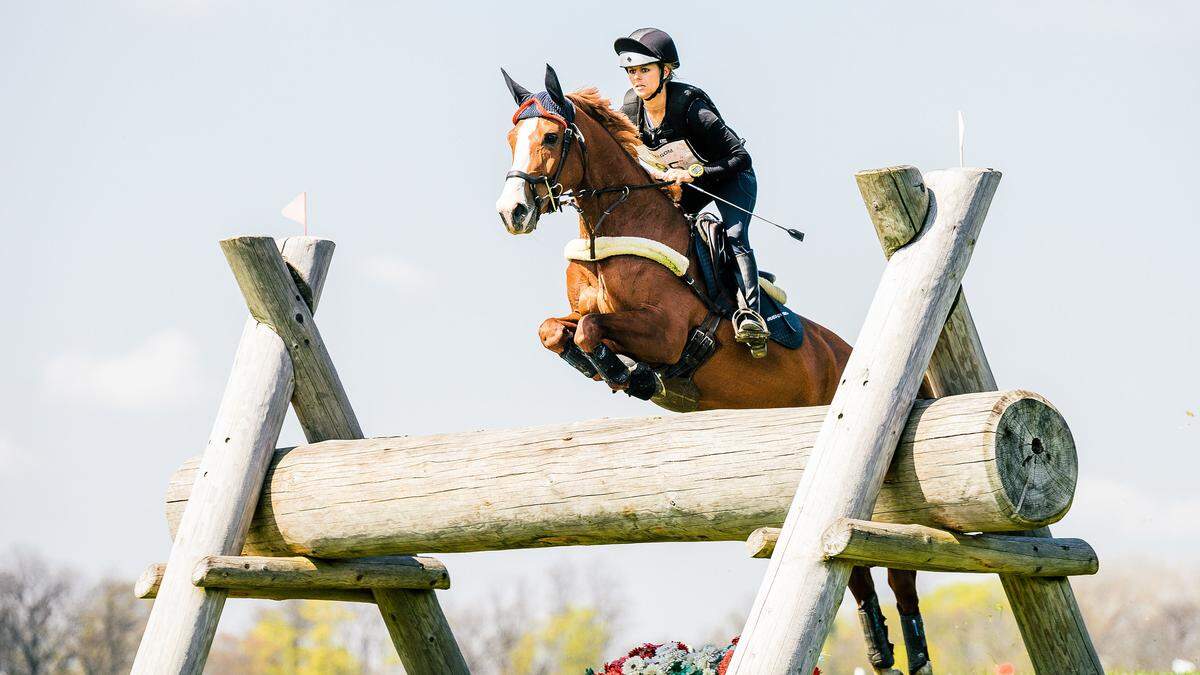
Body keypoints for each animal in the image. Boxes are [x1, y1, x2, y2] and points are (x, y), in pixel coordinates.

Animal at [496, 64, 936, 672]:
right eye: (510, 137)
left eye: (552, 137)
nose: (512, 213)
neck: (611, 228)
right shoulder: (586, 314)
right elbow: (556, 329)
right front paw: (607, 369)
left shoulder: (665, 330)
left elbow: (591, 331)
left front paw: (629, 373)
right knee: (855, 569)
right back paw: (879, 646)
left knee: (894, 566)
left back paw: (914, 649)